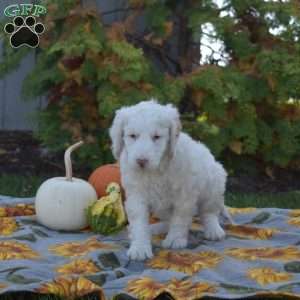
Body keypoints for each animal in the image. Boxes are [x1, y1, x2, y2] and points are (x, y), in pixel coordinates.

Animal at [110, 100, 230, 260]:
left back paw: (214, 230)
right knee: (167, 221)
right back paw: (154, 228)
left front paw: (175, 239)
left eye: (156, 137)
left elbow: (179, 218)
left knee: (209, 212)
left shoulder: (184, 195)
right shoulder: (137, 195)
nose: (141, 161)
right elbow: (139, 221)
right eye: (132, 136)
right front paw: (140, 247)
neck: (156, 170)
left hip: (214, 183)